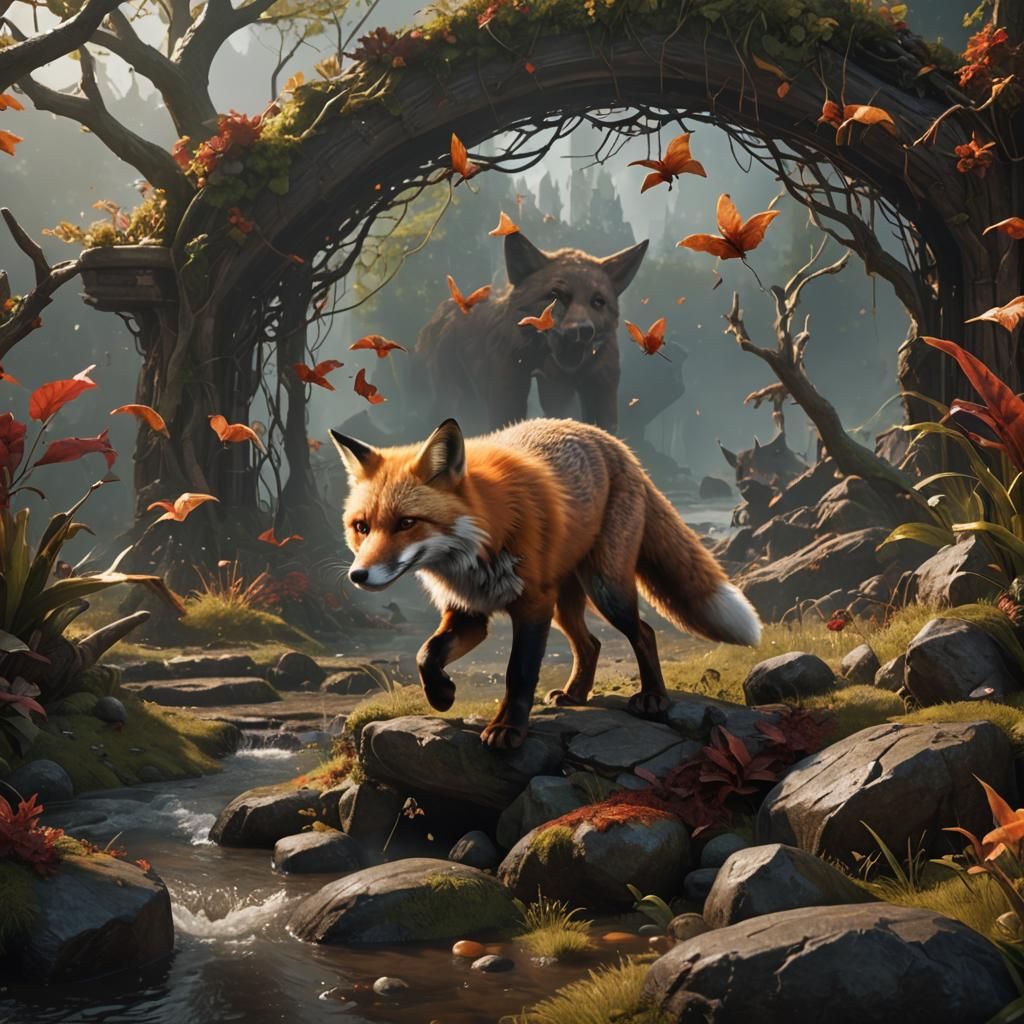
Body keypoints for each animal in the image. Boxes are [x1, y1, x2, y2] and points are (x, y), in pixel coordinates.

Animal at [331, 418, 762, 750]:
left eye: (407, 523)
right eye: (361, 527)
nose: (358, 575)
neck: (477, 548)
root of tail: (612, 441)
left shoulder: (532, 605)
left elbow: (518, 673)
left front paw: (507, 729)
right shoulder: (469, 612)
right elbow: (426, 654)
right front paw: (441, 695)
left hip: (605, 590)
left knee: (643, 632)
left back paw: (654, 696)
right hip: (565, 605)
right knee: (591, 644)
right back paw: (575, 694)